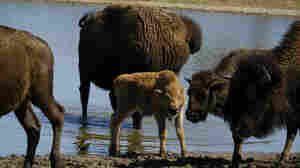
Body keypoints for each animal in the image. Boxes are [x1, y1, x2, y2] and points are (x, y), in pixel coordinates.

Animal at [0, 25, 64, 168]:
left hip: (40, 93)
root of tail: (45, 45)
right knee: (33, 127)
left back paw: (55, 160)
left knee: (57, 115)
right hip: (23, 101)